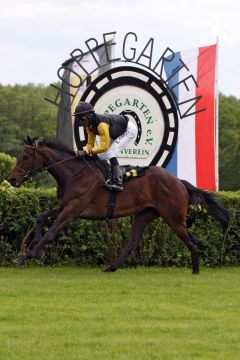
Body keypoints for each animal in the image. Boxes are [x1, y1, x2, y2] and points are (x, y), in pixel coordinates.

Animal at [6, 137, 230, 272]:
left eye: (25, 156)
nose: (11, 179)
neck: (74, 173)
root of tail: (180, 182)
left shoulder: (73, 210)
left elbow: (51, 232)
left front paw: (27, 256)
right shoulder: (65, 207)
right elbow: (40, 217)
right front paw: (37, 249)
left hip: (173, 217)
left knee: (191, 240)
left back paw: (195, 271)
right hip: (145, 214)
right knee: (133, 242)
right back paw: (111, 267)